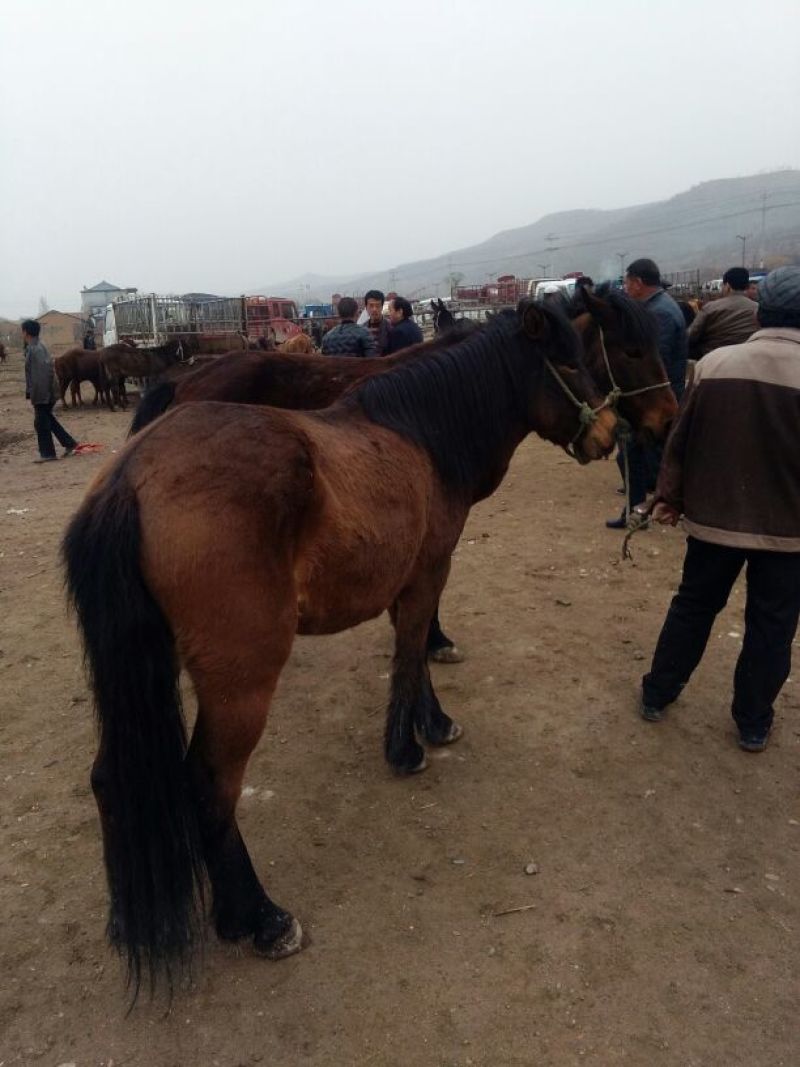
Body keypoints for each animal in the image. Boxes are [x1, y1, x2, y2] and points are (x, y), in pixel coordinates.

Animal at [63, 302, 617, 996]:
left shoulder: (408, 577)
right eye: (570, 362)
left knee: (111, 779)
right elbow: (409, 654)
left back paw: (131, 918)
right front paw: (411, 744)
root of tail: (131, 480)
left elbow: (412, 648)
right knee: (209, 785)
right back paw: (258, 917)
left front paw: (430, 724)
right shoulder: (429, 570)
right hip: (242, 681)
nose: (611, 434)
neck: (420, 431)